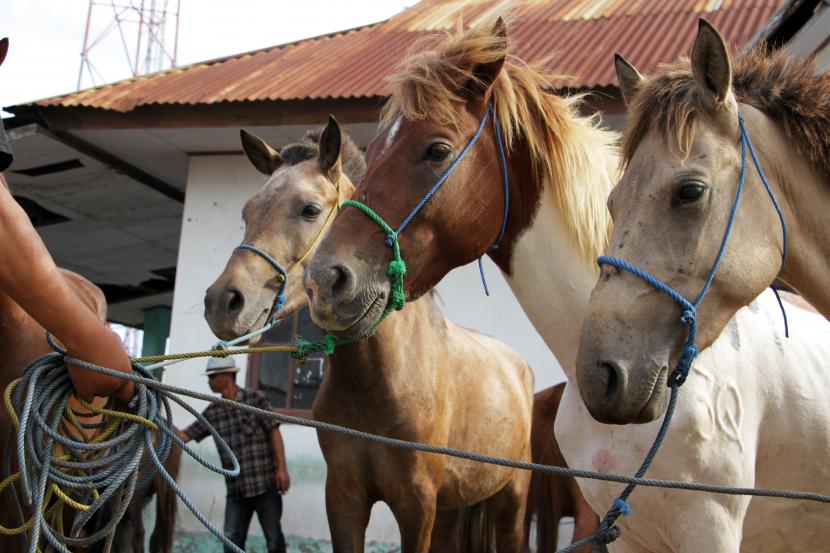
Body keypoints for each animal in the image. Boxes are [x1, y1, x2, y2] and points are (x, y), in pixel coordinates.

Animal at [205, 118, 536, 548]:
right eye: (247, 212)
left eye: (309, 209)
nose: (222, 301)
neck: (380, 379)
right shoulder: (344, 499)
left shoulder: (417, 506)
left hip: (512, 500)